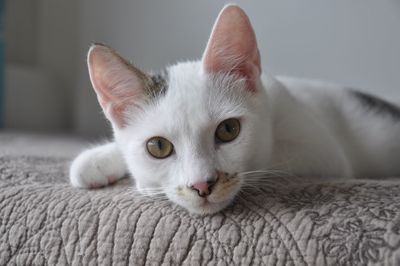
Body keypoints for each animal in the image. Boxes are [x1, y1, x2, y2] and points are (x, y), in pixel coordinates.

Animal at [70, 4, 400, 214]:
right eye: (158, 147)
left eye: (228, 130)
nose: (201, 185)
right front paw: (97, 161)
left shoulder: (324, 153)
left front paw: (145, 184)